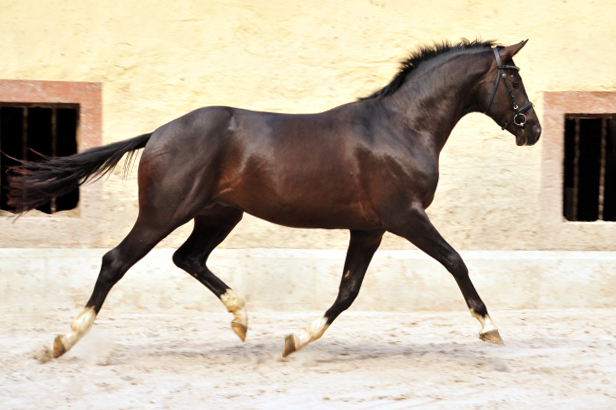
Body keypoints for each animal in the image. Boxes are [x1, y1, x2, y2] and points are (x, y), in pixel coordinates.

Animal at [8, 39, 540, 358]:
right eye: (513, 76)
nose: (532, 129)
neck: (401, 127)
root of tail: (158, 133)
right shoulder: (405, 216)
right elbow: (455, 261)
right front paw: (489, 327)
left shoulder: (369, 227)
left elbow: (347, 291)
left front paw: (295, 340)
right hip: (164, 212)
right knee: (116, 260)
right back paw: (64, 339)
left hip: (219, 215)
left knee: (188, 258)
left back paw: (241, 319)